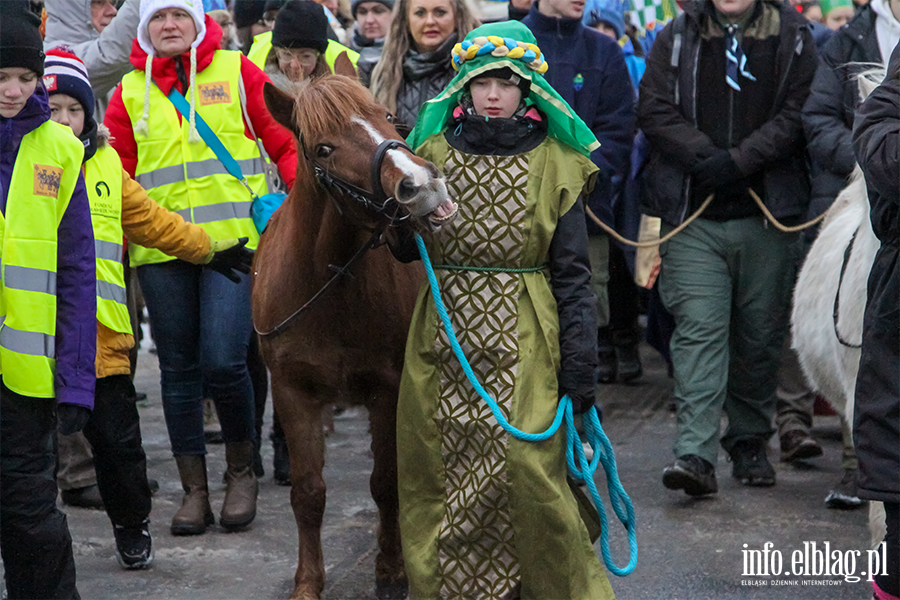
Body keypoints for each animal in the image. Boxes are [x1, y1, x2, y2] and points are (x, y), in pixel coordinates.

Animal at [250, 72, 454, 600]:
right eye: (323, 148)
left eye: (388, 117)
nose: (421, 185)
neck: (329, 282)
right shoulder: (293, 391)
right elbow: (308, 492)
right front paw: (308, 582)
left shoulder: (387, 388)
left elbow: (385, 483)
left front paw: (391, 570)